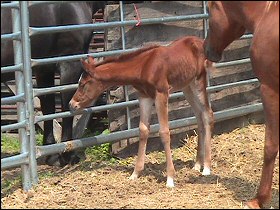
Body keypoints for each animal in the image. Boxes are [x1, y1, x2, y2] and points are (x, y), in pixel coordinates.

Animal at [0, 1, 106, 166]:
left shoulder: (44, 68)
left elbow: (48, 107)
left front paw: (50, 154)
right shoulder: (70, 62)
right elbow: (67, 105)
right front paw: (67, 154)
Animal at [70, 35, 214, 187]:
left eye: (83, 84)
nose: (72, 104)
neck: (144, 67)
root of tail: (200, 42)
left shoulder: (161, 93)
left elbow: (164, 132)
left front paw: (170, 178)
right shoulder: (144, 96)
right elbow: (143, 130)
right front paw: (135, 173)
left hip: (199, 80)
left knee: (207, 114)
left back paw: (206, 168)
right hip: (187, 85)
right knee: (199, 115)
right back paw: (197, 165)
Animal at [205, 1, 278, 208]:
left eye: (210, 10)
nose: (206, 49)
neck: (268, 13)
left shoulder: (270, 90)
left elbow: (270, 146)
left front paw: (259, 199)